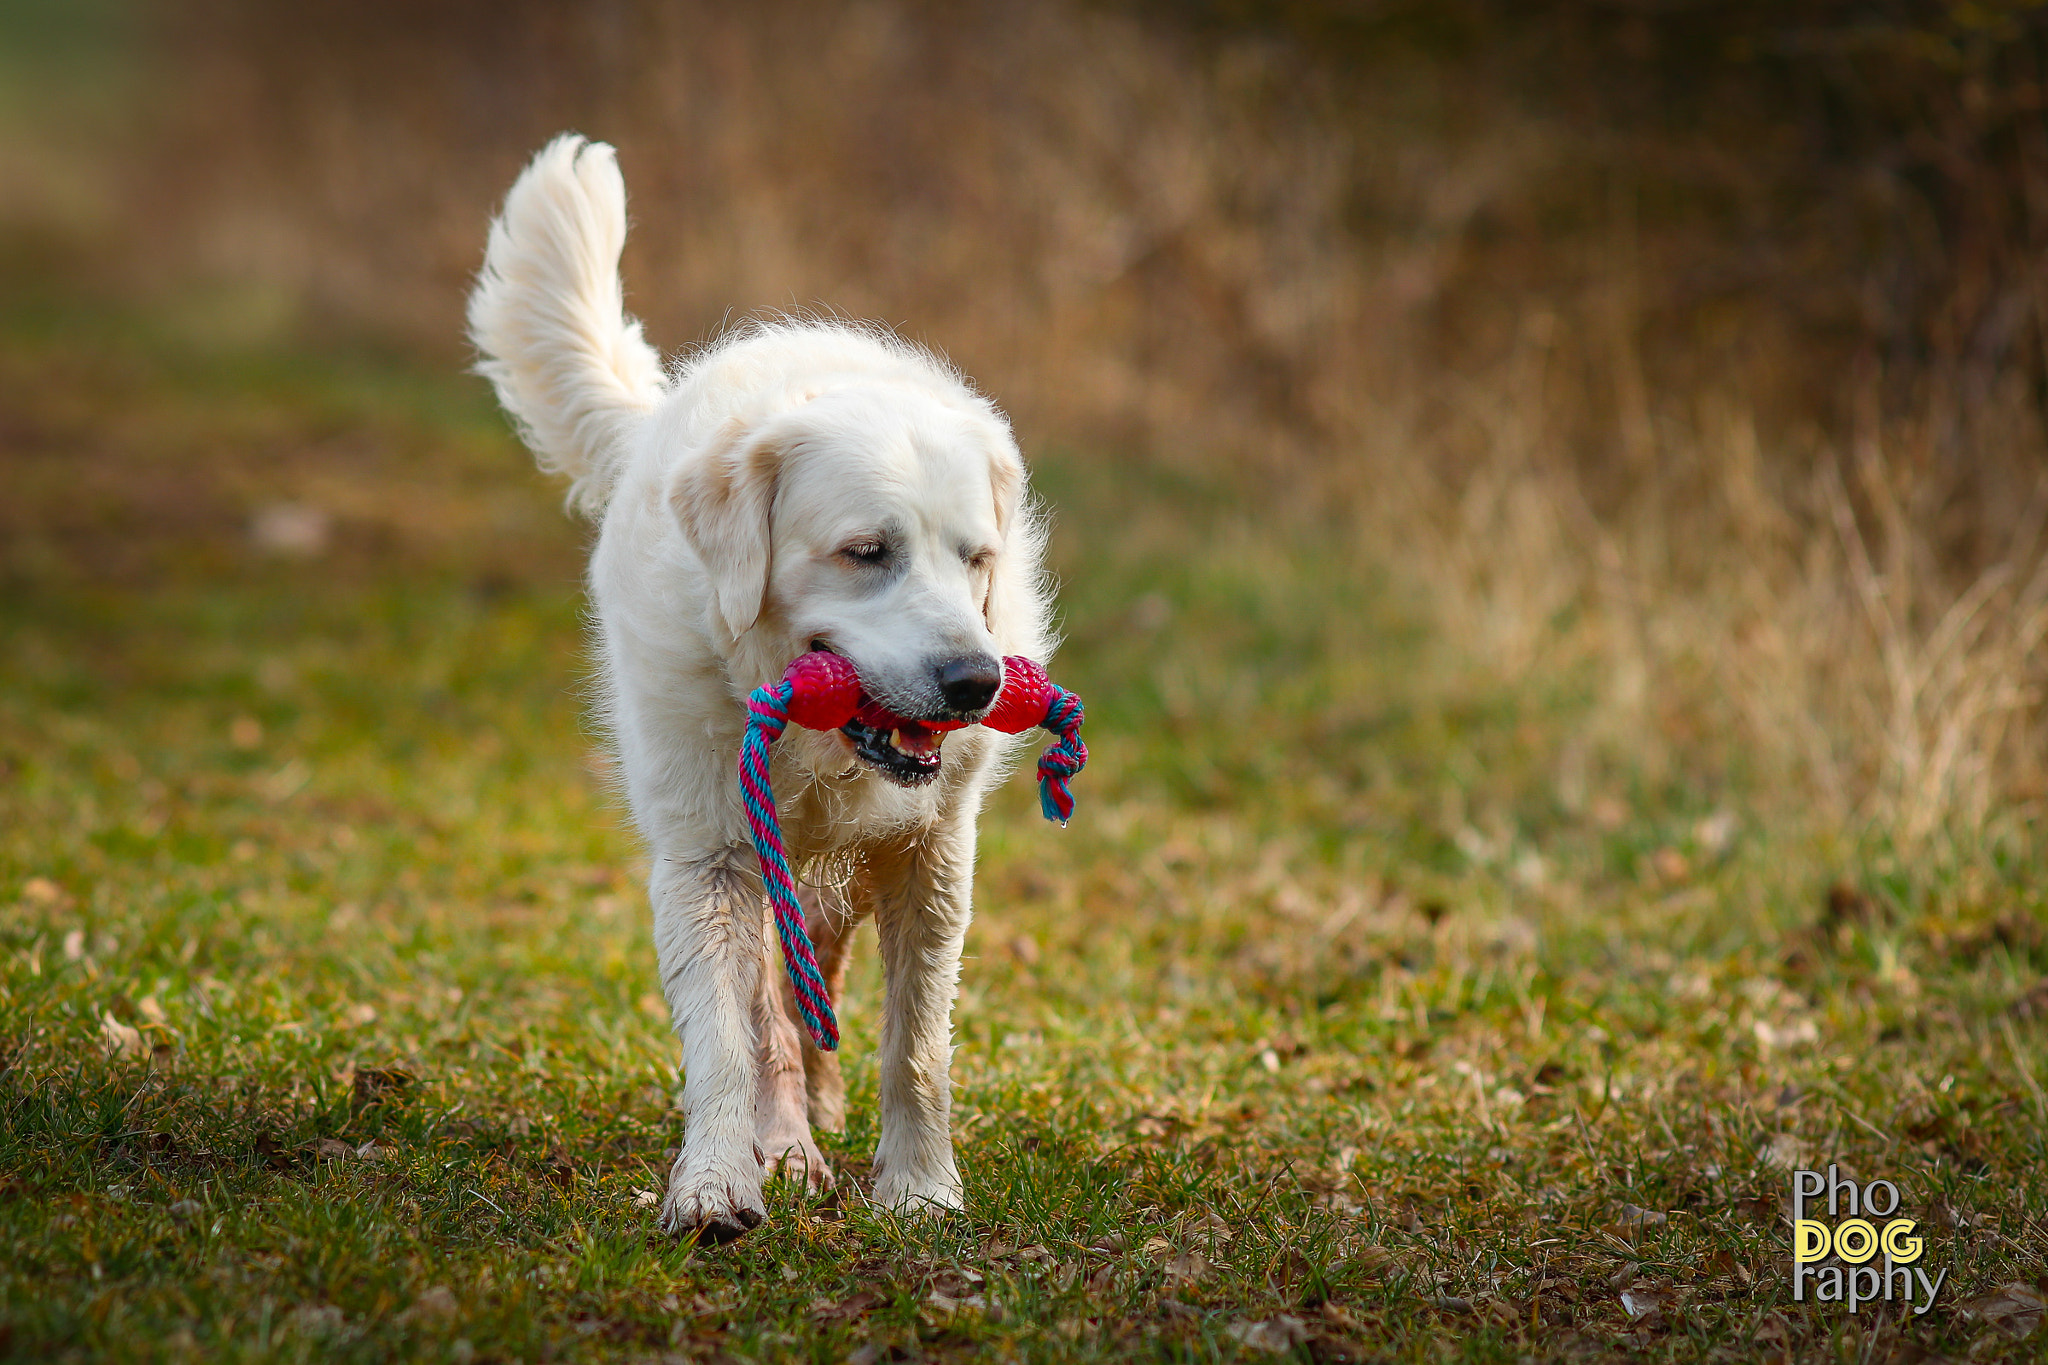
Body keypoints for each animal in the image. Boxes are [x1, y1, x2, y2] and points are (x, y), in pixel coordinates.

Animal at [468, 136, 1056, 1236]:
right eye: (867, 552)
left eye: (976, 559)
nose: (973, 681)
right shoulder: (706, 856)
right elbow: (726, 1044)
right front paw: (715, 1180)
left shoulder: (930, 855)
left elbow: (916, 1047)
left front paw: (919, 1189)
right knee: (774, 1015)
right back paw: (784, 1143)